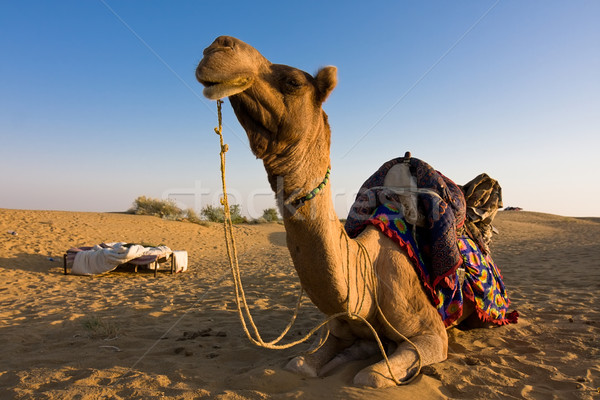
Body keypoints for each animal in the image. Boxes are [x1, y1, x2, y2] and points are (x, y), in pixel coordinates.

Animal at [195, 35, 494, 388]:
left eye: (293, 81)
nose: (218, 46)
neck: (366, 276)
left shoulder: (431, 335)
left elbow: (371, 377)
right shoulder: (339, 329)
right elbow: (299, 363)